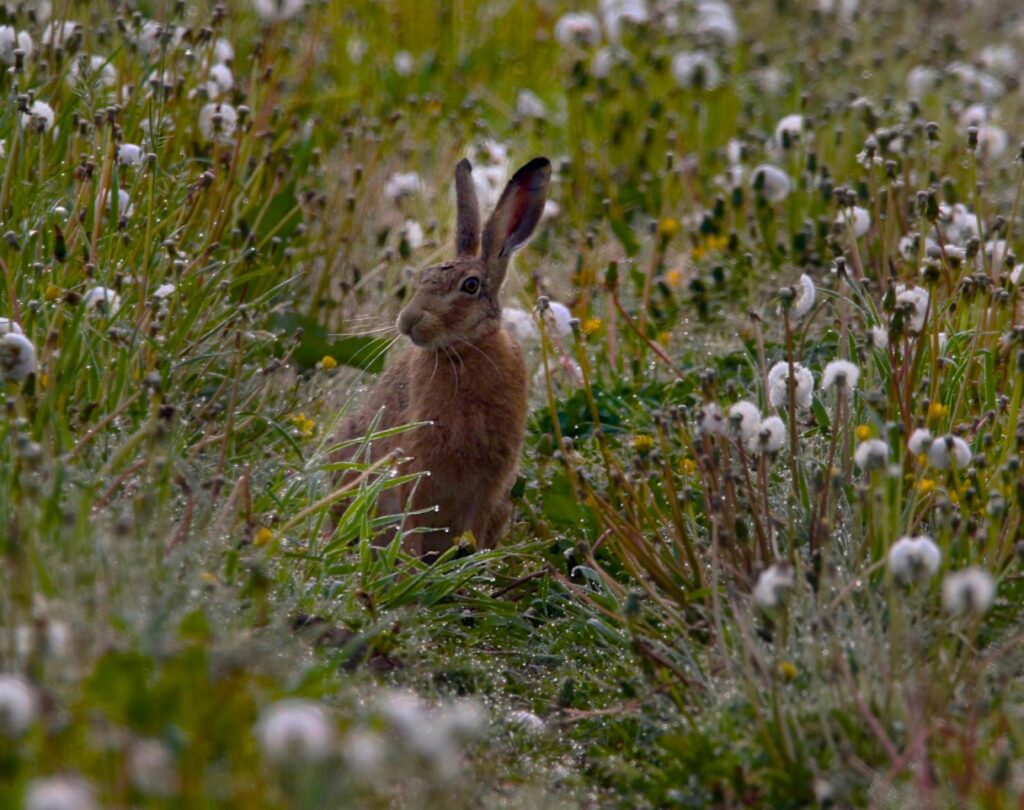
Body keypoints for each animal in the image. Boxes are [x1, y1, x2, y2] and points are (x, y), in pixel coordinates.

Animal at [333, 156, 551, 557]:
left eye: (471, 286)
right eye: (423, 277)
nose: (408, 321)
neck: (465, 350)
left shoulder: (490, 484)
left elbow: (473, 529)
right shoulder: (415, 466)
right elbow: (411, 519)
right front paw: (411, 563)